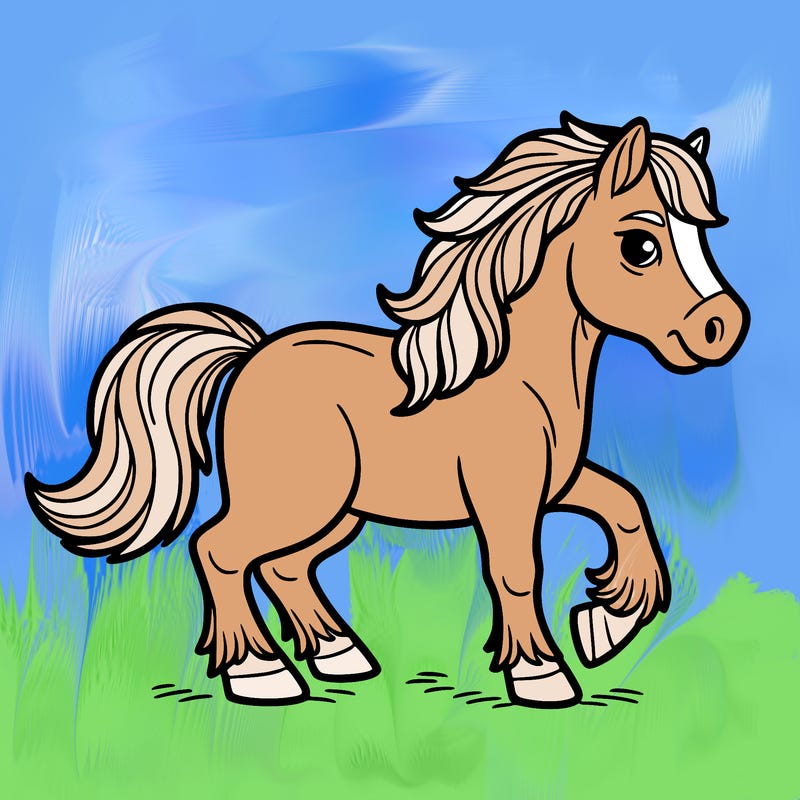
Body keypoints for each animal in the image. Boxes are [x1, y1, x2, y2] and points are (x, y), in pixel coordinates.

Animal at [25, 112, 749, 708]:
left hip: (339, 511)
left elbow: (627, 508)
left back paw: (341, 657)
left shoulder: (557, 482)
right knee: (220, 550)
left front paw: (606, 625)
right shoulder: (505, 495)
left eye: (701, 236)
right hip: (294, 499)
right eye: (640, 246)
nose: (723, 328)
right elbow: (517, 571)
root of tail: (252, 353)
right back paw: (262, 676)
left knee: (286, 566)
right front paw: (542, 675)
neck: (518, 378)